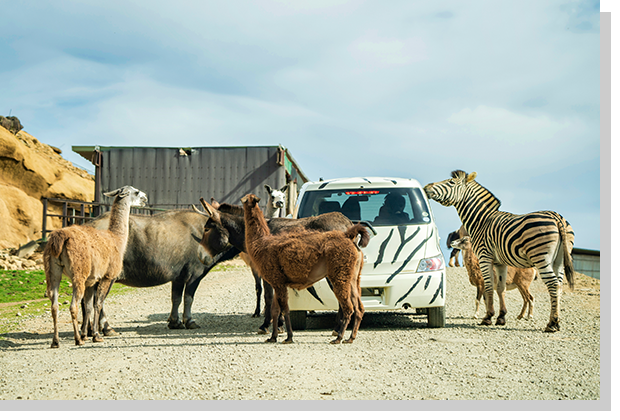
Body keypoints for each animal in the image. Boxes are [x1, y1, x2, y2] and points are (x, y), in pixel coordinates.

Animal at [43, 185, 148, 348]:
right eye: (136, 192)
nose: (146, 198)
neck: (116, 239)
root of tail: (59, 238)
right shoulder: (107, 276)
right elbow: (98, 303)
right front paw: (96, 335)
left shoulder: (91, 281)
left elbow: (88, 306)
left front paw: (86, 334)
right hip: (78, 272)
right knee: (73, 306)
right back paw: (77, 340)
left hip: (52, 272)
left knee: (54, 306)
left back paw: (56, 341)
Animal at [424, 170, 572, 332]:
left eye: (451, 182)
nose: (425, 187)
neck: (481, 220)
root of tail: (557, 218)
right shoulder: (500, 262)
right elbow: (501, 289)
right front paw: (501, 317)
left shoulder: (484, 257)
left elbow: (489, 288)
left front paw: (488, 317)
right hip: (559, 260)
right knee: (558, 285)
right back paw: (555, 322)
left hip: (541, 258)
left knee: (553, 284)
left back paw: (552, 323)